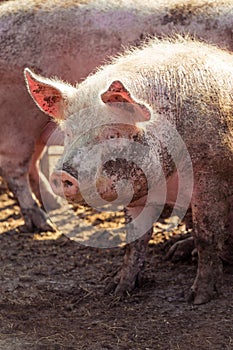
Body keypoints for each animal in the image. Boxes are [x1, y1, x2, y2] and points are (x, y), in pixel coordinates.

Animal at [2, 0, 233, 232]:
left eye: (113, 136)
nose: (63, 175)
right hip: (18, 123)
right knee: (14, 170)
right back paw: (44, 223)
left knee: (32, 165)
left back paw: (54, 206)